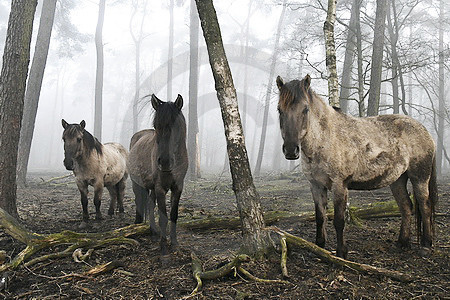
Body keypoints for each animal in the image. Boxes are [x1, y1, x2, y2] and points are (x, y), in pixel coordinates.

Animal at [127, 95, 187, 254]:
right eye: (155, 125)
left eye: (176, 125)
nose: (165, 161)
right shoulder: (160, 188)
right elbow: (163, 218)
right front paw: (164, 248)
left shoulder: (177, 187)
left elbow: (173, 215)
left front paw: (174, 243)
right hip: (137, 184)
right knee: (139, 204)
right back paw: (137, 227)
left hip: (151, 187)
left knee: (149, 204)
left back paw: (153, 234)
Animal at [276, 74, 438, 258]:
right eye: (279, 110)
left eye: (305, 109)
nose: (291, 150)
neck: (326, 139)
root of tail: (425, 131)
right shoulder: (316, 185)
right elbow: (320, 217)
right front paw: (319, 246)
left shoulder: (339, 185)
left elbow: (339, 220)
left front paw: (341, 253)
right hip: (397, 180)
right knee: (406, 206)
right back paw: (402, 243)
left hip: (420, 178)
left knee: (425, 206)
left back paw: (426, 246)